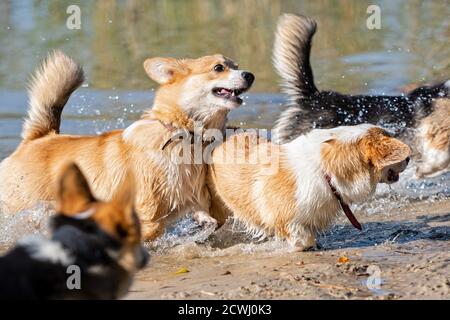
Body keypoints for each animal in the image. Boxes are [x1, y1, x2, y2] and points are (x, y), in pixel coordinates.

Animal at [0, 50, 253, 240]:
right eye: (218, 68)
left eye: (236, 66)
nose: (250, 75)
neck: (183, 133)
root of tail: (39, 137)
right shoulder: (146, 207)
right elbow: (152, 228)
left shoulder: (200, 198)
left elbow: (211, 217)